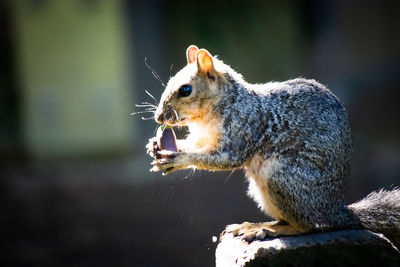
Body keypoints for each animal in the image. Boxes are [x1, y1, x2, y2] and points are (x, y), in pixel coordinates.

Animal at [145, 44, 400, 247]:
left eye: (185, 90)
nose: (158, 117)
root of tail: (333, 209)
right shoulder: (204, 137)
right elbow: (196, 144)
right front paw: (154, 146)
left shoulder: (243, 128)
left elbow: (224, 158)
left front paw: (178, 158)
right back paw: (255, 224)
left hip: (282, 178)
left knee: (308, 226)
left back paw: (264, 229)